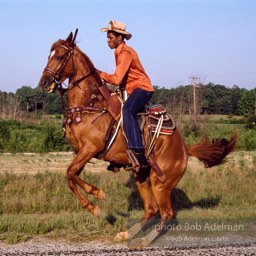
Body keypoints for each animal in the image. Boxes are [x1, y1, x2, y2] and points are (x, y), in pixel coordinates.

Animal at [39, 30, 237, 248]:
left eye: (59, 57)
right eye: (49, 55)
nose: (44, 83)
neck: (89, 105)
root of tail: (185, 149)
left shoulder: (90, 148)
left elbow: (70, 173)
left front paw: (98, 198)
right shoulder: (80, 153)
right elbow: (71, 176)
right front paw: (95, 205)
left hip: (160, 183)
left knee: (166, 213)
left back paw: (143, 240)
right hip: (142, 175)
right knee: (151, 209)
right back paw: (127, 234)